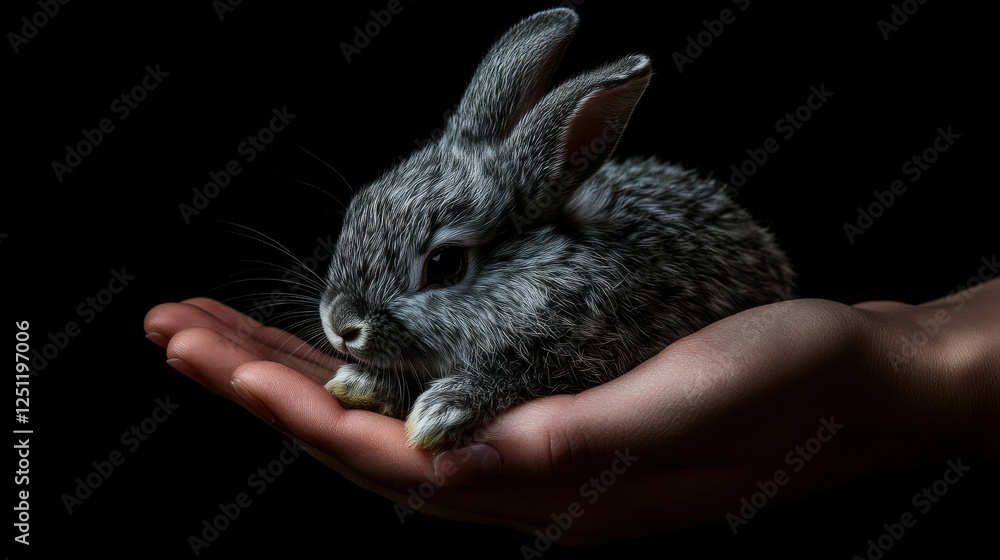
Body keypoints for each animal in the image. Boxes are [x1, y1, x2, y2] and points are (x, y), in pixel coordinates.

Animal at [319, 7, 795, 449]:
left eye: (445, 263)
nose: (341, 326)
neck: (545, 270)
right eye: (359, 204)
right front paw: (360, 384)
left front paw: (441, 411)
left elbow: (522, 375)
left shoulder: (589, 349)